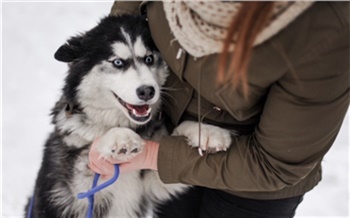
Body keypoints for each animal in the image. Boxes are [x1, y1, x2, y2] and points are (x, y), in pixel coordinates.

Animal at [26, 14, 231, 217]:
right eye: (118, 62)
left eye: (149, 58)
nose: (147, 91)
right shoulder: (80, 191)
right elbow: (93, 150)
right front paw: (120, 136)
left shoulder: (155, 183)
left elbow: (171, 164)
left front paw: (207, 132)